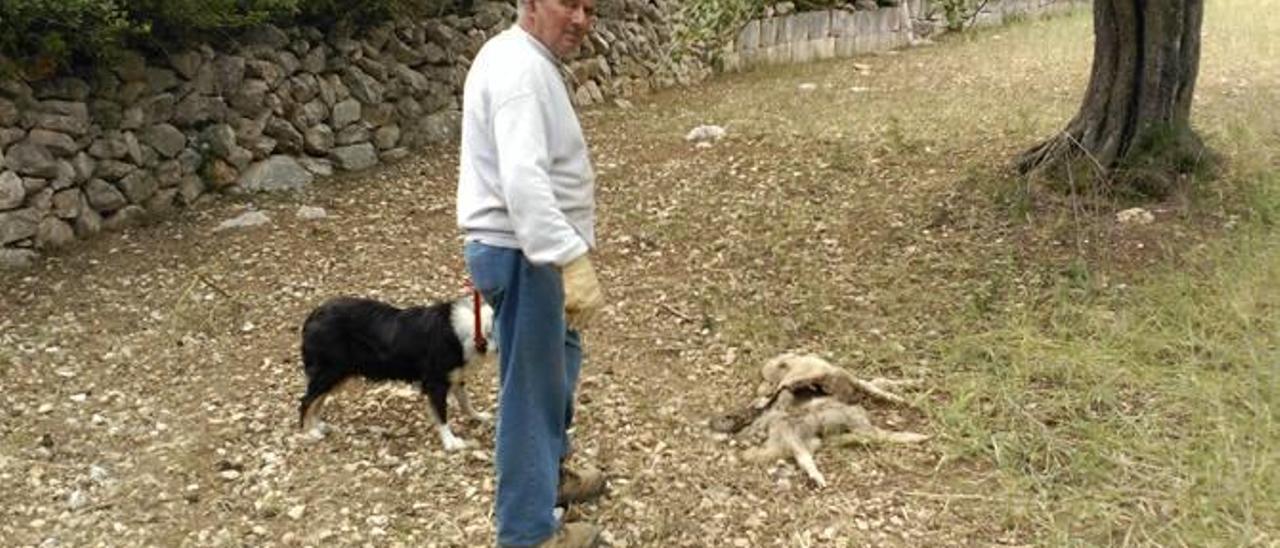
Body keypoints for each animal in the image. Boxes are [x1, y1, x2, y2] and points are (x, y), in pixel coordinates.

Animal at [299, 295, 494, 450]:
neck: (476, 330)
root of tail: (314, 314)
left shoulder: (456, 377)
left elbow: (466, 403)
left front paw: (479, 416)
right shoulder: (435, 383)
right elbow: (441, 414)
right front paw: (450, 441)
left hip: (337, 375)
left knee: (317, 400)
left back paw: (318, 425)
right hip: (330, 372)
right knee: (306, 401)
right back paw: (310, 432)